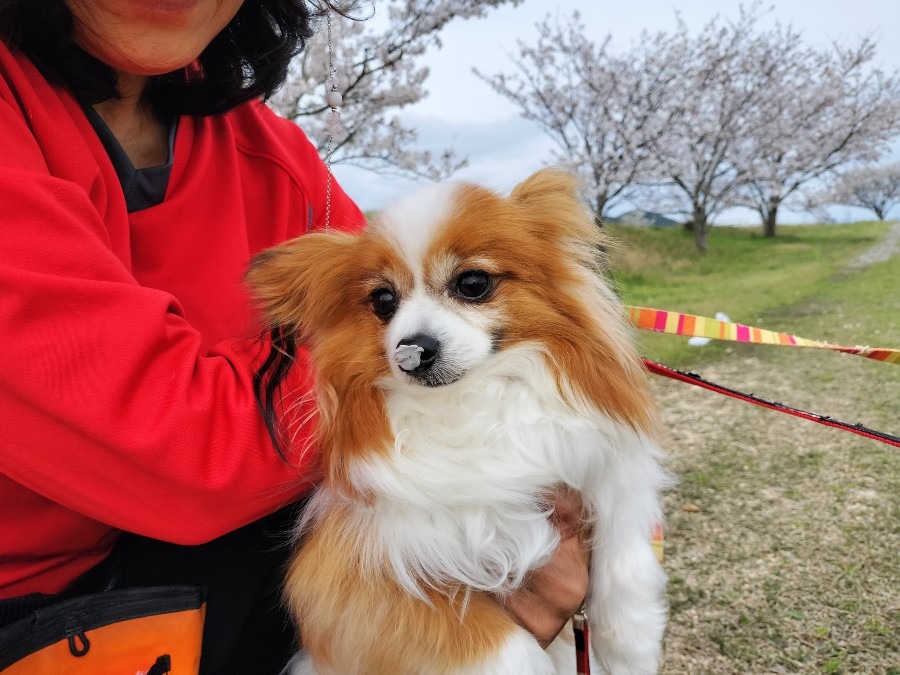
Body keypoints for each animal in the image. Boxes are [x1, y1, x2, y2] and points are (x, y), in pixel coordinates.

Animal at [246, 170, 668, 675]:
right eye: (383, 300)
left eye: (472, 283)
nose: (414, 348)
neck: (467, 402)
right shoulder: (354, 575)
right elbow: (500, 647)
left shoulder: (606, 478)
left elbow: (625, 555)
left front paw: (631, 646)